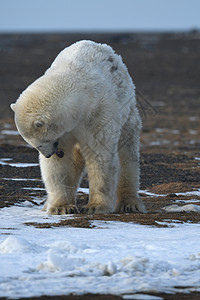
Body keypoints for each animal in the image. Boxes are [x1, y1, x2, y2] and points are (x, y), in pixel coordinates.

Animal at [10, 39, 145, 214]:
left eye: (39, 144)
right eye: (33, 145)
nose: (48, 154)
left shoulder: (97, 114)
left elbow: (100, 155)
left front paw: (95, 206)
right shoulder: (65, 132)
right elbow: (60, 164)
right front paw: (61, 208)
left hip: (127, 110)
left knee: (127, 154)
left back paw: (130, 203)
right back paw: (47, 204)